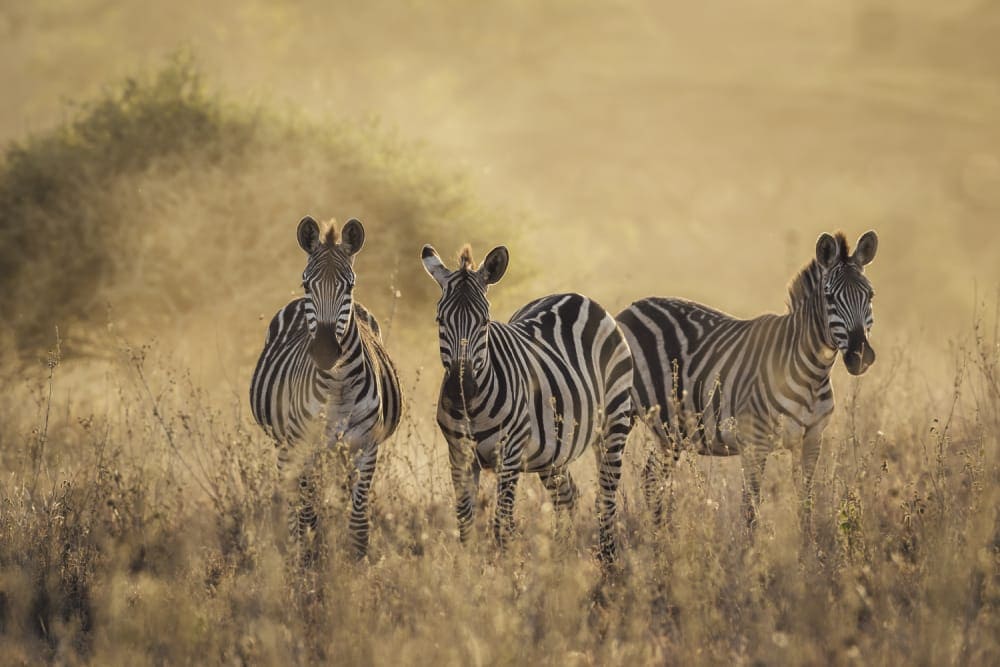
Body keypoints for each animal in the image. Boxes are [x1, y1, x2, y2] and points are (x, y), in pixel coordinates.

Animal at [250, 218, 402, 560]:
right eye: (307, 285)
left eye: (349, 286)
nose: (324, 353)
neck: (339, 386)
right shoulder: (305, 447)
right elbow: (308, 512)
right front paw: (309, 561)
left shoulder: (366, 448)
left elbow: (358, 521)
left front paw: (354, 564)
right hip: (288, 446)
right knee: (295, 499)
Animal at [422, 243, 632, 568]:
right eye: (440, 320)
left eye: (484, 322)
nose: (461, 389)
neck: (473, 408)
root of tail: (577, 297)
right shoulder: (460, 456)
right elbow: (465, 524)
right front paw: (467, 572)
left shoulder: (508, 456)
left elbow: (501, 526)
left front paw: (506, 574)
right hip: (553, 452)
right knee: (568, 497)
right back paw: (560, 560)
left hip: (613, 425)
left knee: (605, 499)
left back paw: (608, 566)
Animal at [612, 231, 880, 532]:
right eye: (830, 297)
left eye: (870, 295)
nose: (860, 356)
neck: (813, 373)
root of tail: (632, 307)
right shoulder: (755, 442)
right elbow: (751, 510)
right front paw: (749, 546)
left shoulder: (812, 439)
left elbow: (805, 503)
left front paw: (808, 543)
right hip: (625, 413)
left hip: (671, 430)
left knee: (651, 476)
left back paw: (663, 534)